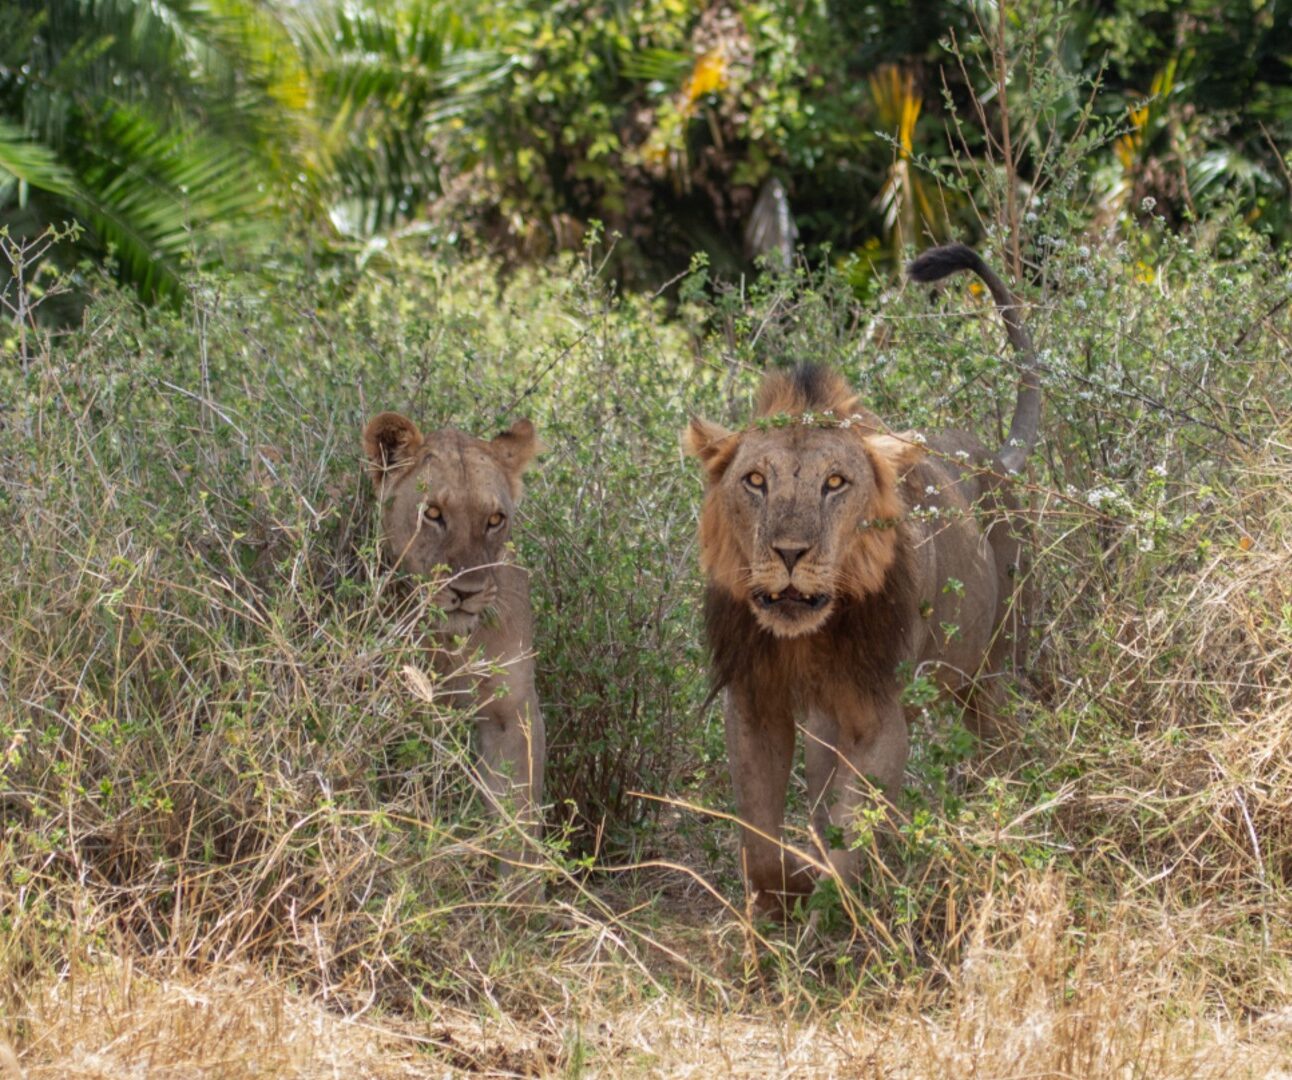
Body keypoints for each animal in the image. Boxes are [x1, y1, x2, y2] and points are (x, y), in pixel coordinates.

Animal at [362, 411, 545, 871]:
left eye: (495, 520)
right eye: (433, 513)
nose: (466, 592)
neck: (455, 643)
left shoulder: (511, 714)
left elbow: (518, 819)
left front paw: (521, 889)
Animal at [683, 243, 1039, 915]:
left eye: (835, 483)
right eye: (756, 481)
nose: (789, 552)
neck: (809, 637)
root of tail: (992, 457)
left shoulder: (880, 714)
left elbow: (853, 838)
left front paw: (835, 906)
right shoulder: (754, 703)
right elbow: (760, 844)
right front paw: (789, 888)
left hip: (991, 666)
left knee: (1001, 739)